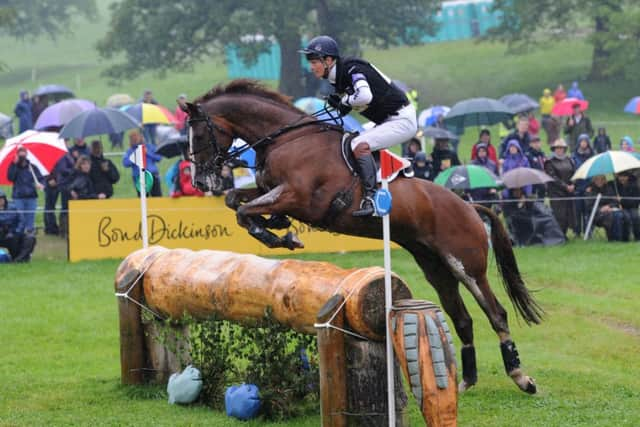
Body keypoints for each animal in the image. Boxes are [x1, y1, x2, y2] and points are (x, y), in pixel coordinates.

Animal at [182, 79, 544, 394]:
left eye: (198, 134)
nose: (200, 183)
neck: (289, 139)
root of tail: (469, 205)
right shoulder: (271, 190)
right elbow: (236, 202)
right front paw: (278, 229)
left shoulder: (301, 198)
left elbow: (244, 210)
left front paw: (280, 237)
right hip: (435, 267)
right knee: (463, 318)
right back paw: (465, 381)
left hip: (466, 265)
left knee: (495, 312)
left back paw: (521, 378)